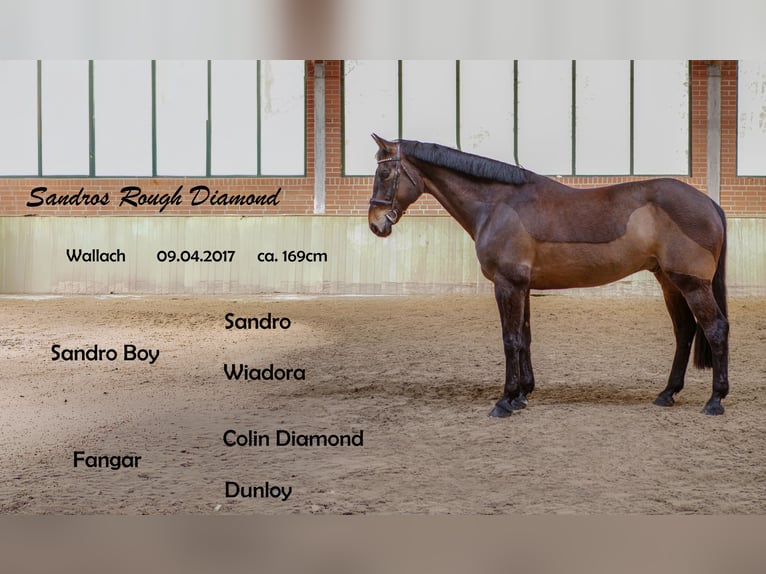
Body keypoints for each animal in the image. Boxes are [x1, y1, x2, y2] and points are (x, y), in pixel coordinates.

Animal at [367, 134, 729, 417]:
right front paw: (522, 395)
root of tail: (708, 202)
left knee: (715, 329)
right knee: (684, 331)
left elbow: (510, 339)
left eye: (385, 172)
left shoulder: (507, 285)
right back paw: (667, 394)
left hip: (691, 284)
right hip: (669, 281)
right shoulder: (523, 287)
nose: (375, 223)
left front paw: (504, 401)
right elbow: (524, 337)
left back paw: (715, 400)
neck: (498, 205)